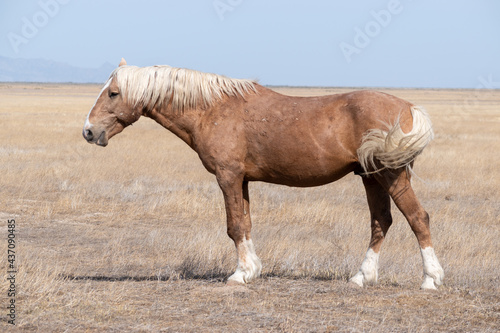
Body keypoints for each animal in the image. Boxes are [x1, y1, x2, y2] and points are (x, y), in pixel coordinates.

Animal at [83, 58, 446, 290]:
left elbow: (233, 226)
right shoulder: (242, 180)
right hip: (371, 176)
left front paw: (239, 275)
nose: (89, 131)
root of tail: (407, 107)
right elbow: (244, 224)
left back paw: (430, 279)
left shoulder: (228, 177)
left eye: (113, 93)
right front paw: (252, 270)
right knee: (381, 222)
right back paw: (362, 277)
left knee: (417, 218)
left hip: (392, 176)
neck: (212, 109)